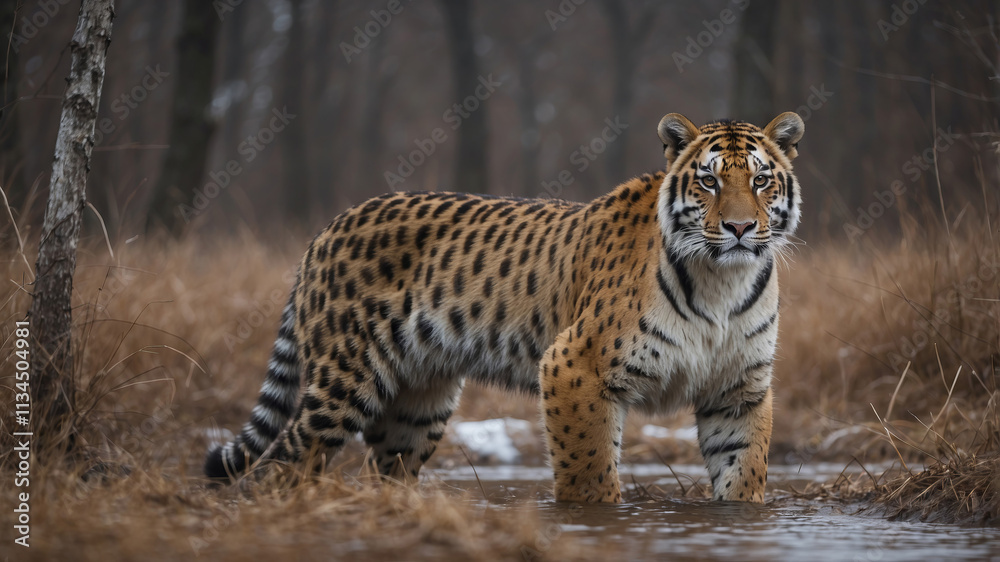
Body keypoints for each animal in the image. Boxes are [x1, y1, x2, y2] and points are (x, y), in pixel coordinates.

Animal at [205, 111, 805, 503]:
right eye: (708, 181)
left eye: (760, 179)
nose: (740, 228)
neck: (722, 281)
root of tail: (329, 226)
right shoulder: (574, 367)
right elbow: (590, 477)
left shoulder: (739, 389)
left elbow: (743, 475)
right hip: (342, 381)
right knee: (286, 458)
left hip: (417, 405)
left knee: (385, 469)